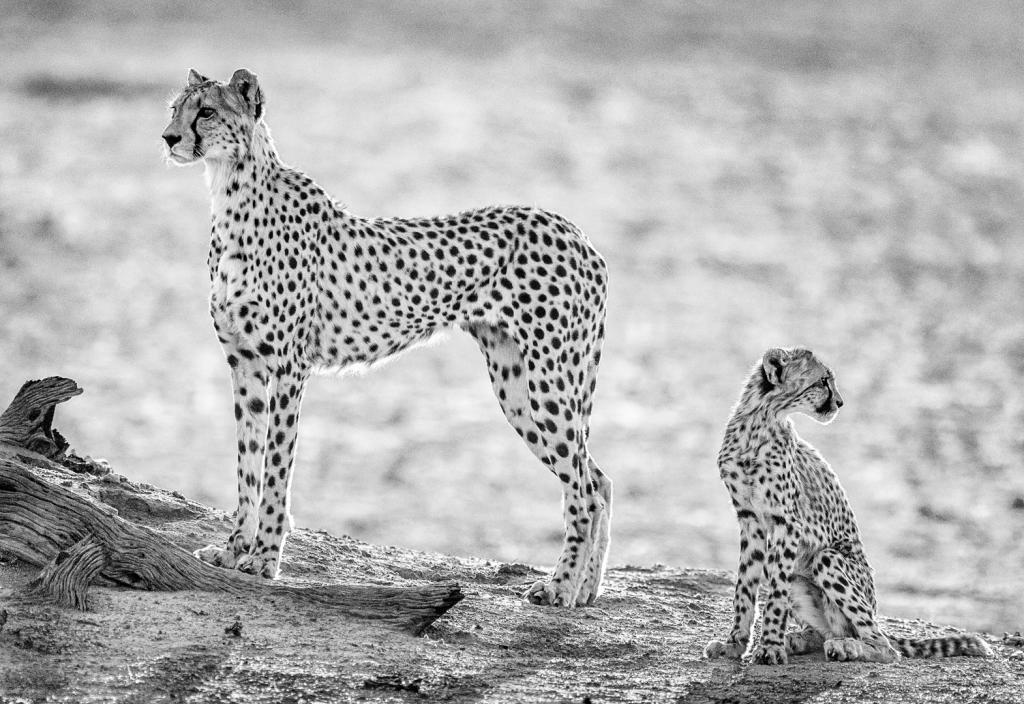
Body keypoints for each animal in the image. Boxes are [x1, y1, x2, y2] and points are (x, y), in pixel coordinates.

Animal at [159, 68, 606, 605]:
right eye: (175, 108)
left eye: (206, 111)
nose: (168, 138)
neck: (231, 192)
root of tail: (578, 233)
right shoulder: (242, 364)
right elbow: (247, 466)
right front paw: (232, 551)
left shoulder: (288, 368)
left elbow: (276, 467)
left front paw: (264, 559)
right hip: (517, 386)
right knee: (600, 479)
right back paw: (588, 591)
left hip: (547, 384)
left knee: (584, 490)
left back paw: (559, 589)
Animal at [704, 349, 991, 663]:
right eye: (823, 381)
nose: (840, 402)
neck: (758, 422)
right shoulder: (750, 518)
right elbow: (744, 586)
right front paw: (735, 643)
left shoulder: (787, 523)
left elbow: (776, 592)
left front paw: (769, 646)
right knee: (828, 632)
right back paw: (802, 639)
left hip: (828, 559)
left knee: (885, 647)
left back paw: (846, 647)